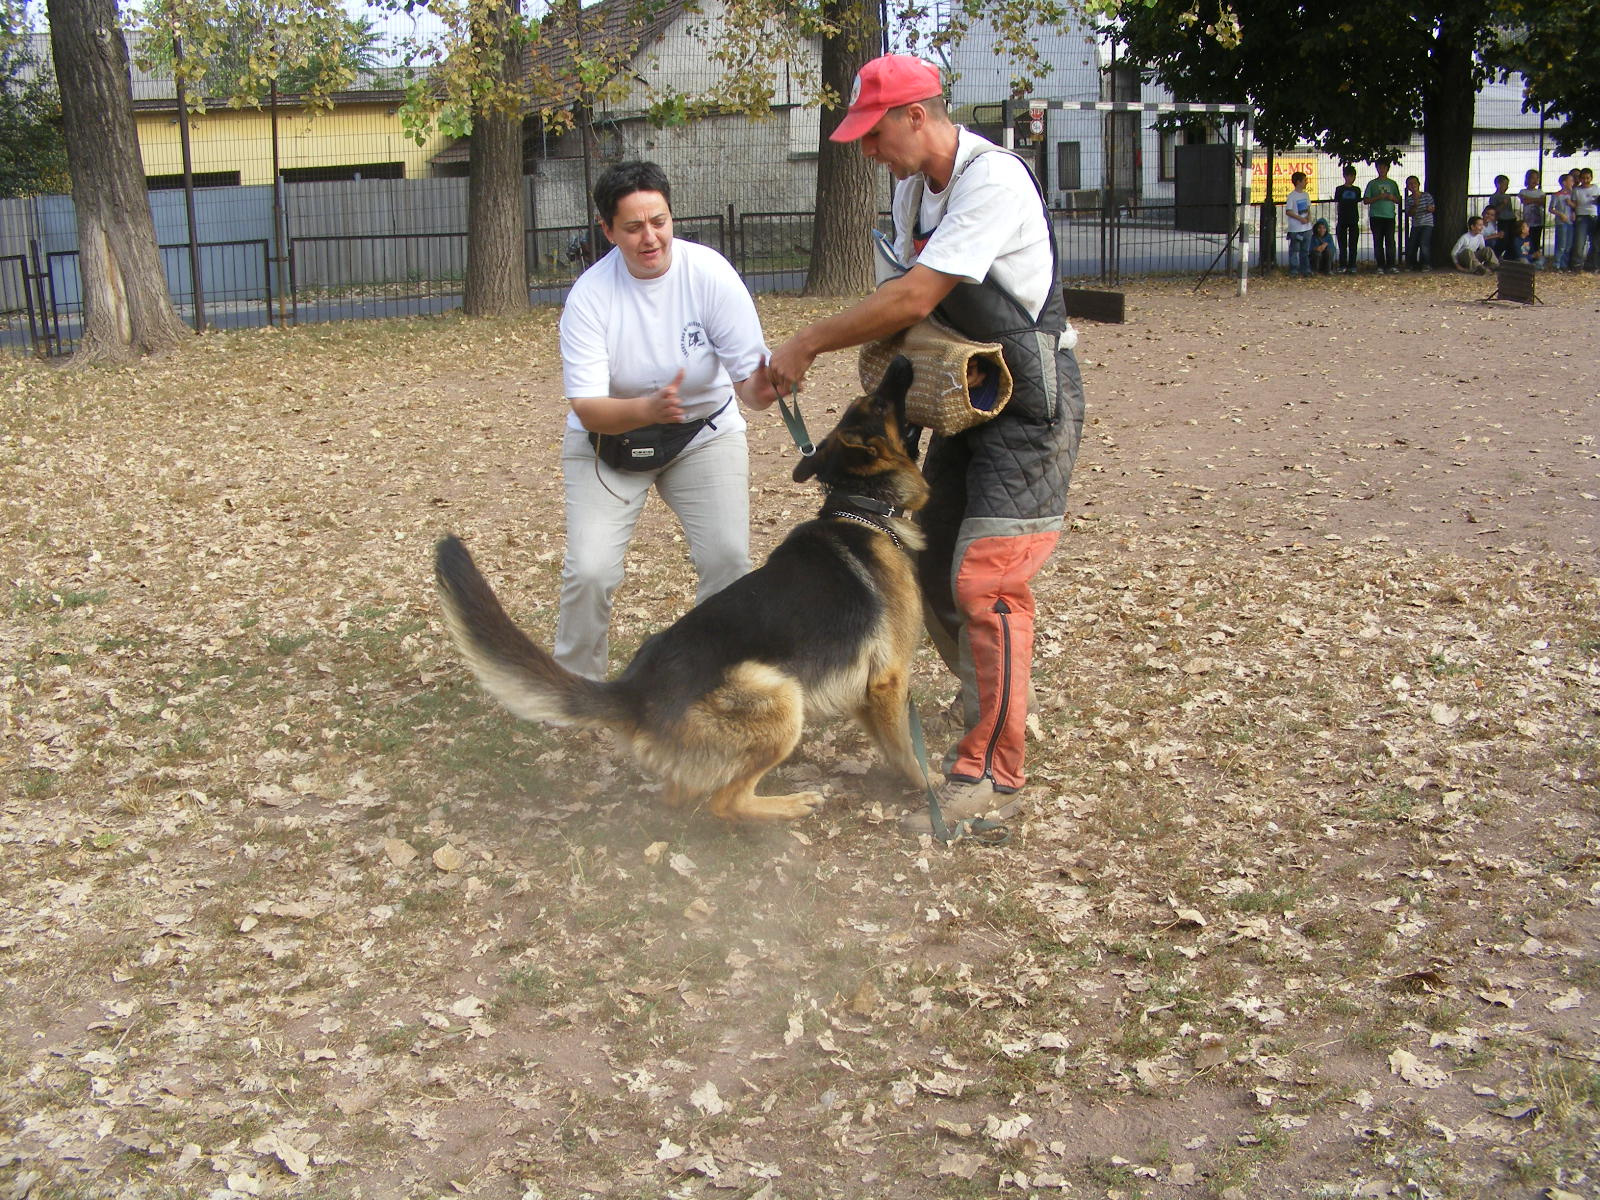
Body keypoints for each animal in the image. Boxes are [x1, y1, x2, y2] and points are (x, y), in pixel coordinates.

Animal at [435, 356, 934, 825]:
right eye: (881, 403)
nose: (900, 361)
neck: (862, 504)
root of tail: (634, 692)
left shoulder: (869, 691)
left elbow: (891, 745)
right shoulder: (889, 679)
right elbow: (908, 749)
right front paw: (931, 790)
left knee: (681, 796)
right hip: (781, 696)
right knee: (725, 802)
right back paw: (789, 806)